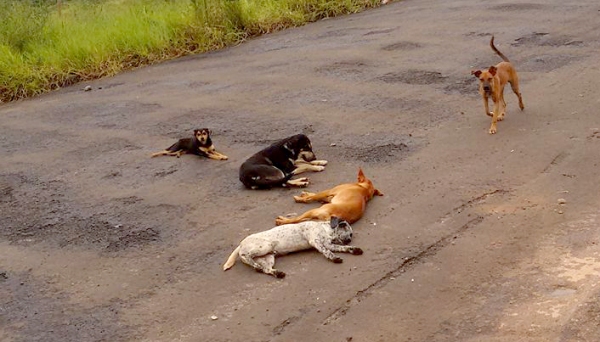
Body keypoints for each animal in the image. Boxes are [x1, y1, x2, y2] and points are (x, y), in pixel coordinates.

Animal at [223, 216, 364, 278]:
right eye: (345, 227)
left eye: (351, 234)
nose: (349, 239)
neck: (327, 231)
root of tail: (241, 243)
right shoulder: (316, 241)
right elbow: (327, 252)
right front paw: (334, 258)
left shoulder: (330, 244)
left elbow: (342, 248)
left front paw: (354, 249)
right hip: (265, 246)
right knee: (245, 256)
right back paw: (252, 262)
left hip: (268, 258)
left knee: (265, 269)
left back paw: (275, 272)